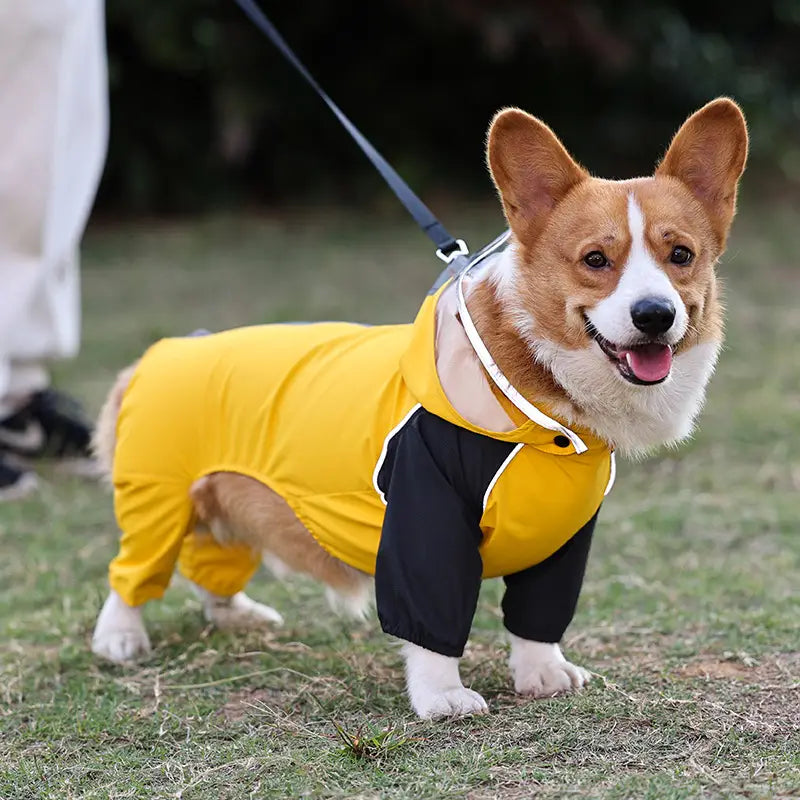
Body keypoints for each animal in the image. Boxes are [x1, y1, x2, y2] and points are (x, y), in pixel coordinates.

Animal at [90, 98, 748, 720]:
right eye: (594, 260)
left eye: (681, 255)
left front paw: (542, 674)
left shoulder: (562, 538)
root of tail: (161, 353)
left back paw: (236, 614)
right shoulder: (425, 512)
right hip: (156, 500)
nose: (655, 315)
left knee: (209, 561)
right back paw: (120, 637)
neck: (536, 401)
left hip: (217, 504)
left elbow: (537, 617)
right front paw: (443, 698)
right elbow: (432, 619)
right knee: (133, 572)